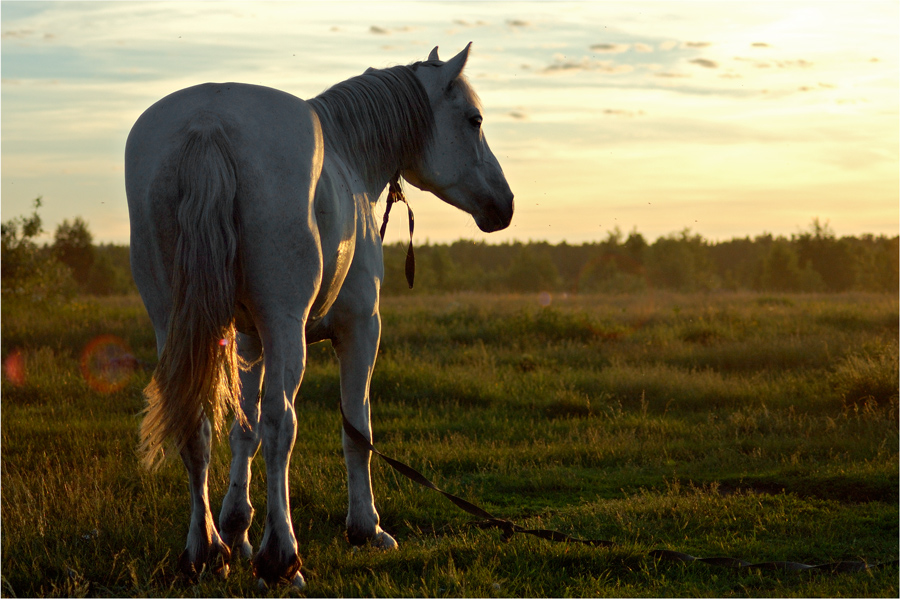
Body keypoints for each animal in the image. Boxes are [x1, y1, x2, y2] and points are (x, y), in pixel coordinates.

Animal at [123, 44, 512, 588]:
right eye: (474, 121)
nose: (505, 204)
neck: (349, 158)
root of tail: (207, 124)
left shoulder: (248, 341)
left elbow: (242, 432)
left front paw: (238, 530)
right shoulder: (360, 328)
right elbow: (356, 427)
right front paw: (366, 528)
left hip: (174, 324)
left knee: (196, 422)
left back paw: (207, 551)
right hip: (285, 325)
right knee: (280, 422)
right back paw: (282, 560)